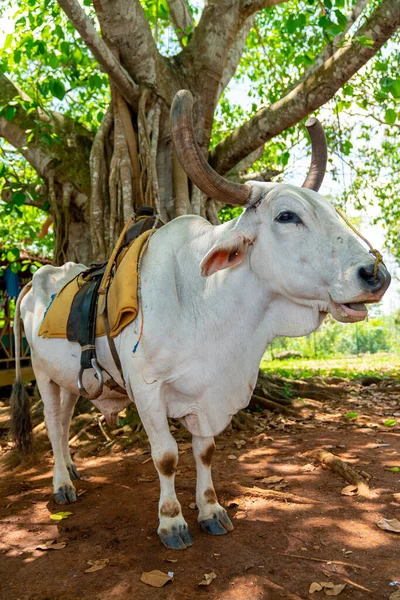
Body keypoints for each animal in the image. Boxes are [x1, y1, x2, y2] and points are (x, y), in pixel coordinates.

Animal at [11, 90, 390, 548]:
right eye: (286, 216)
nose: (375, 274)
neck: (207, 305)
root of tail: (38, 278)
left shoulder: (207, 392)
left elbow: (204, 451)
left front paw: (211, 510)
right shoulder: (148, 390)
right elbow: (166, 456)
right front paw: (172, 521)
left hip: (70, 380)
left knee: (66, 422)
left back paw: (71, 469)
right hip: (42, 376)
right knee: (52, 424)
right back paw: (62, 484)